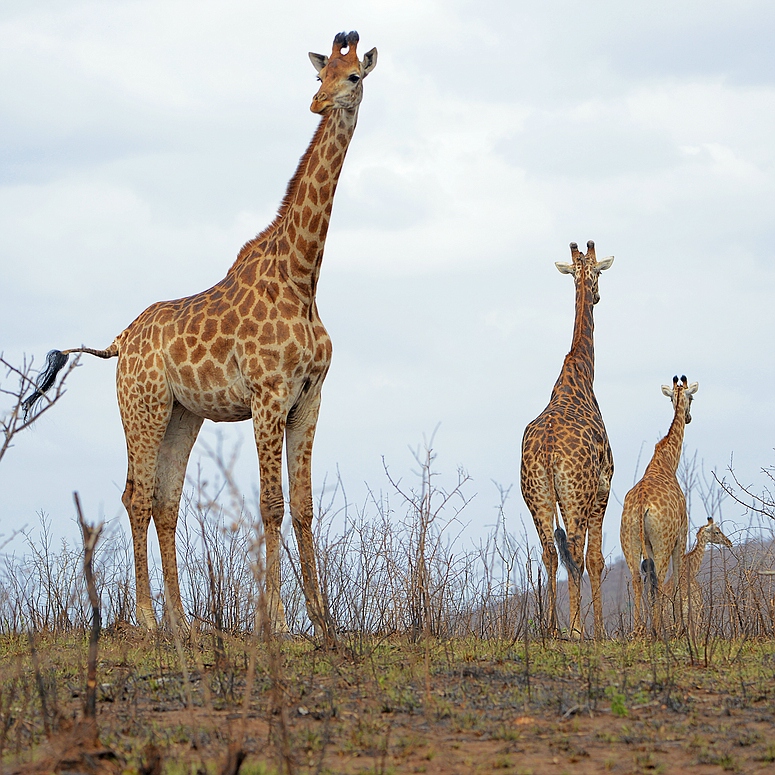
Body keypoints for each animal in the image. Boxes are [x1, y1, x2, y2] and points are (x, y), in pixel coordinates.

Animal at [22, 31, 378, 644]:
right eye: (319, 76)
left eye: (353, 76)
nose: (318, 104)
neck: (303, 276)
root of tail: (119, 340)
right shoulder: (267, 396)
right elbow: (271, 504)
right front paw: (274, 622)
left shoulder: (309, 400)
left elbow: (304, 507)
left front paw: (324, 623)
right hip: (140, 407)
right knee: (136, 495)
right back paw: (146, 620)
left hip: (181, 414)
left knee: (165, 500)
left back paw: (182, 624)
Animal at [620, 376, 700, 636]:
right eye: (692, 397)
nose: (689, 417)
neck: (667, 461)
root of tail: (641, 506)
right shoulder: (682, 535)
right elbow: (677, 578)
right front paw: (679, 627)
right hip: (663, 541)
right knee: (661, 577)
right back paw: (657, 630)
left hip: (630, 540)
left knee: (637, 578)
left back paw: (639, 630)